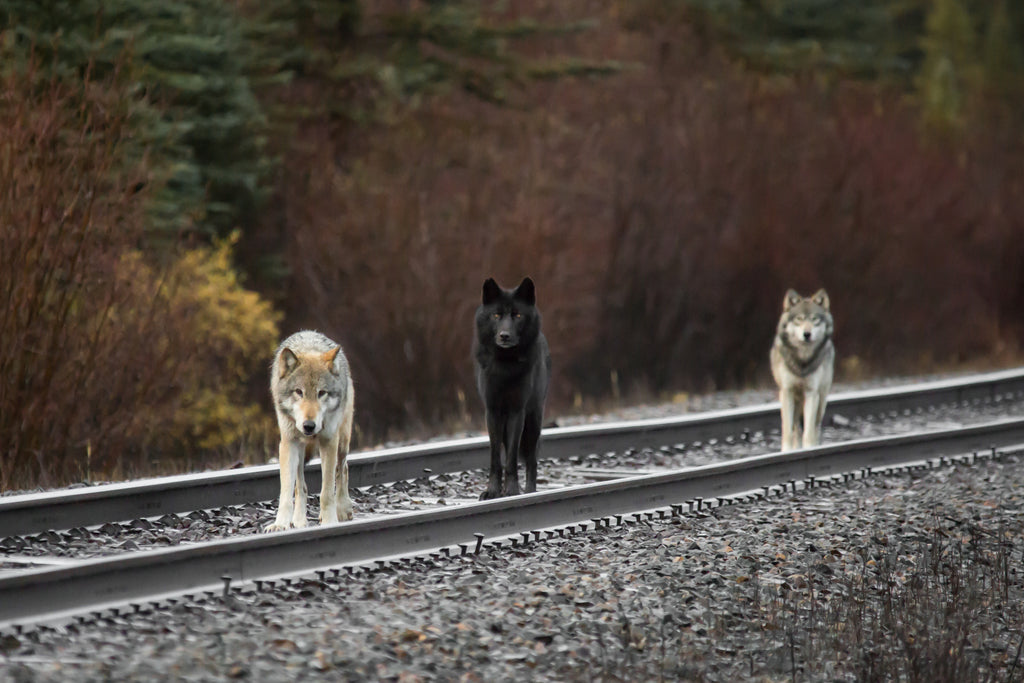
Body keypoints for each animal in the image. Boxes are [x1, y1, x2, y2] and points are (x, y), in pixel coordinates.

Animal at [266, 330, 355, 532]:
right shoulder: (288, 443)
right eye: (299, 392)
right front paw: (280, 524)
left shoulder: (329, 441)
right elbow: (286, 492)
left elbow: (327, 492)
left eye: (322, 393)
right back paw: (299, 521)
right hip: (300, 449)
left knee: (343, 469)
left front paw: (330, 521)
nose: (309, 425)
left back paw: (342, 510)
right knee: (301, 486)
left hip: (341, 442)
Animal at [474, 277, 551, 499]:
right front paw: (492, 491)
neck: (505, 366)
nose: (504, 335)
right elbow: (495, 457)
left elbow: (511, 459)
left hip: (533, 421)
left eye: (517, 315)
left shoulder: (518, 411)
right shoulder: (492, 411)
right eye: (496, 315)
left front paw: (511, 491)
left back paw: (530, 492)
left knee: (531, 460)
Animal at [770, 289, 835, 451]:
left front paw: (809, 448)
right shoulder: (787, 392)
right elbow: (787, 429)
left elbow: (809, 430)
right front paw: (787, 451)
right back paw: (796, 447)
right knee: (796, 428)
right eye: (799, 319)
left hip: (821, 400)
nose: (807, 334)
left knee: (815, 426)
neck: (802, 360)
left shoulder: (812, 393)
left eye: (814, 319)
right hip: (796, 401)